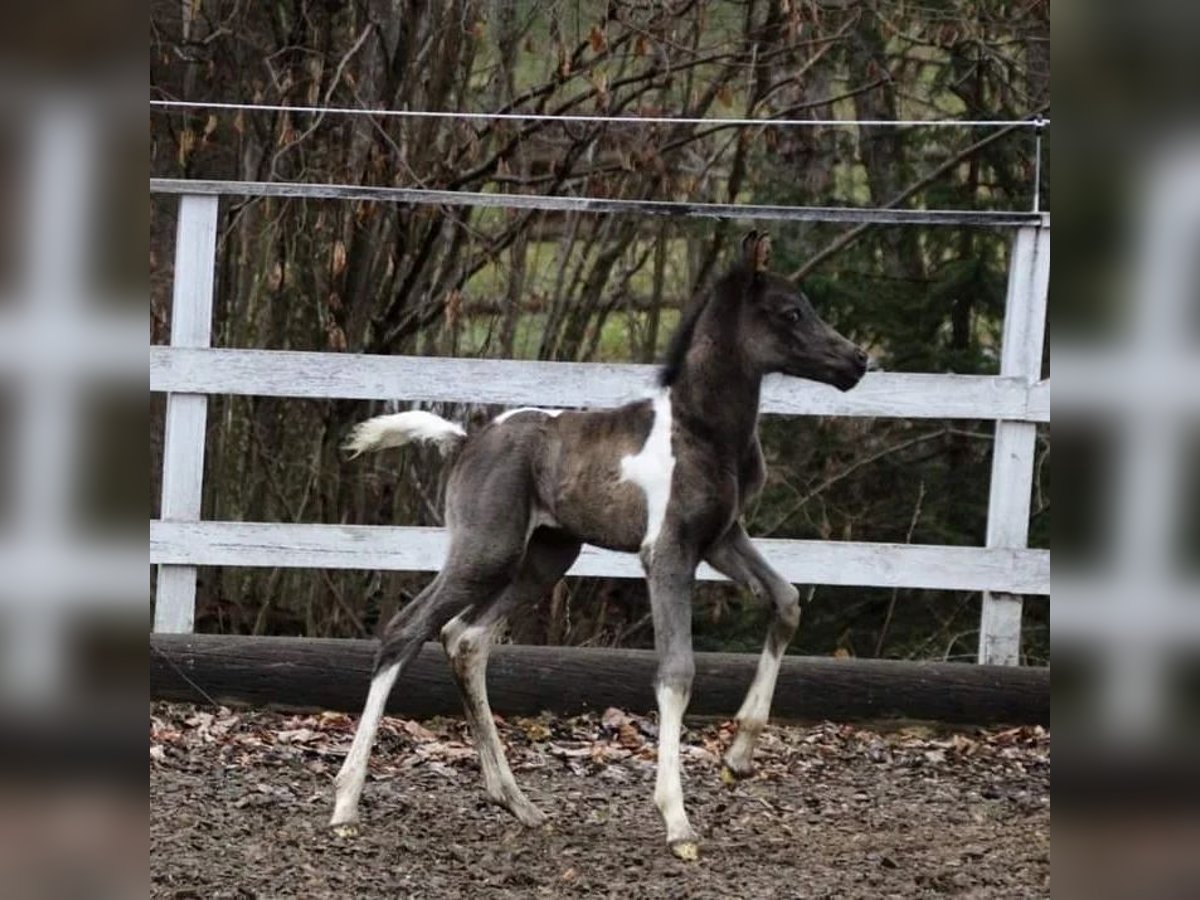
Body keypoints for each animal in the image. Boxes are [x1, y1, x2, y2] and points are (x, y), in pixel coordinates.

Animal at [333, 232, 868, 859]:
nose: (857, 361)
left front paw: (738, 758)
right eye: (790, 312)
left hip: (543, 557)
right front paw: (678, 821)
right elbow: (677, 671)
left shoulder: (721, 538)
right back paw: (345, 804)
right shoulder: (667, 552)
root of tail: (465, 441)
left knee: (465, 639)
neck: (703, 431)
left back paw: (516, 802)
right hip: (486, 551)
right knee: (406, 631)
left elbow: (786, 602)